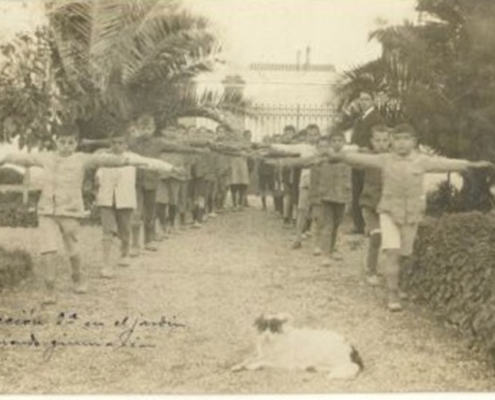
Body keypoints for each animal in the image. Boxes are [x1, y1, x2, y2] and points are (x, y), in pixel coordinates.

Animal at [232, 310, 364, 380]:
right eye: (263, 328)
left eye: (274, 329)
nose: (266, 336)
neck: (273, 344)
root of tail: (352, 349)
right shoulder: (262, 355)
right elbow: (248, 359)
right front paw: (238, 365)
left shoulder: (283, 363)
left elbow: (261, 362)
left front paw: (250, 366)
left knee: (342, 366)